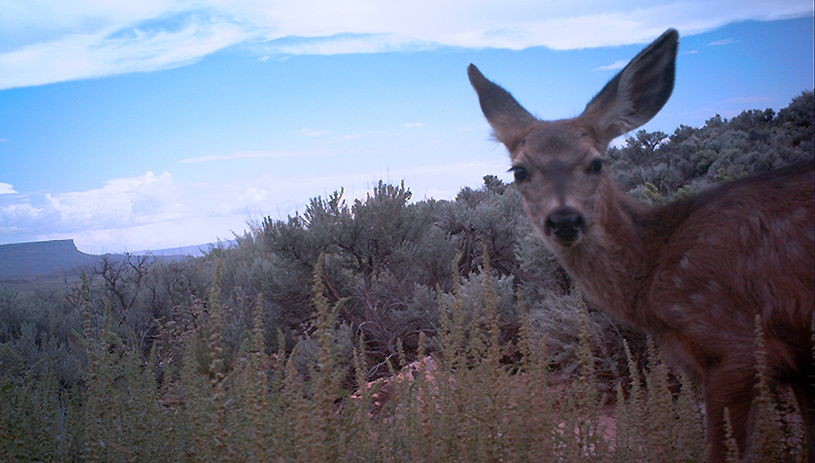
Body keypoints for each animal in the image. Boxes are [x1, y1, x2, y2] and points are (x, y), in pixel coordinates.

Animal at [468, 29, 812, 463]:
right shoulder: (799, 364)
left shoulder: (735, 347)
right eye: (520, 170)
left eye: (596, 162)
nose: (564, 219)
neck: (655, 266)